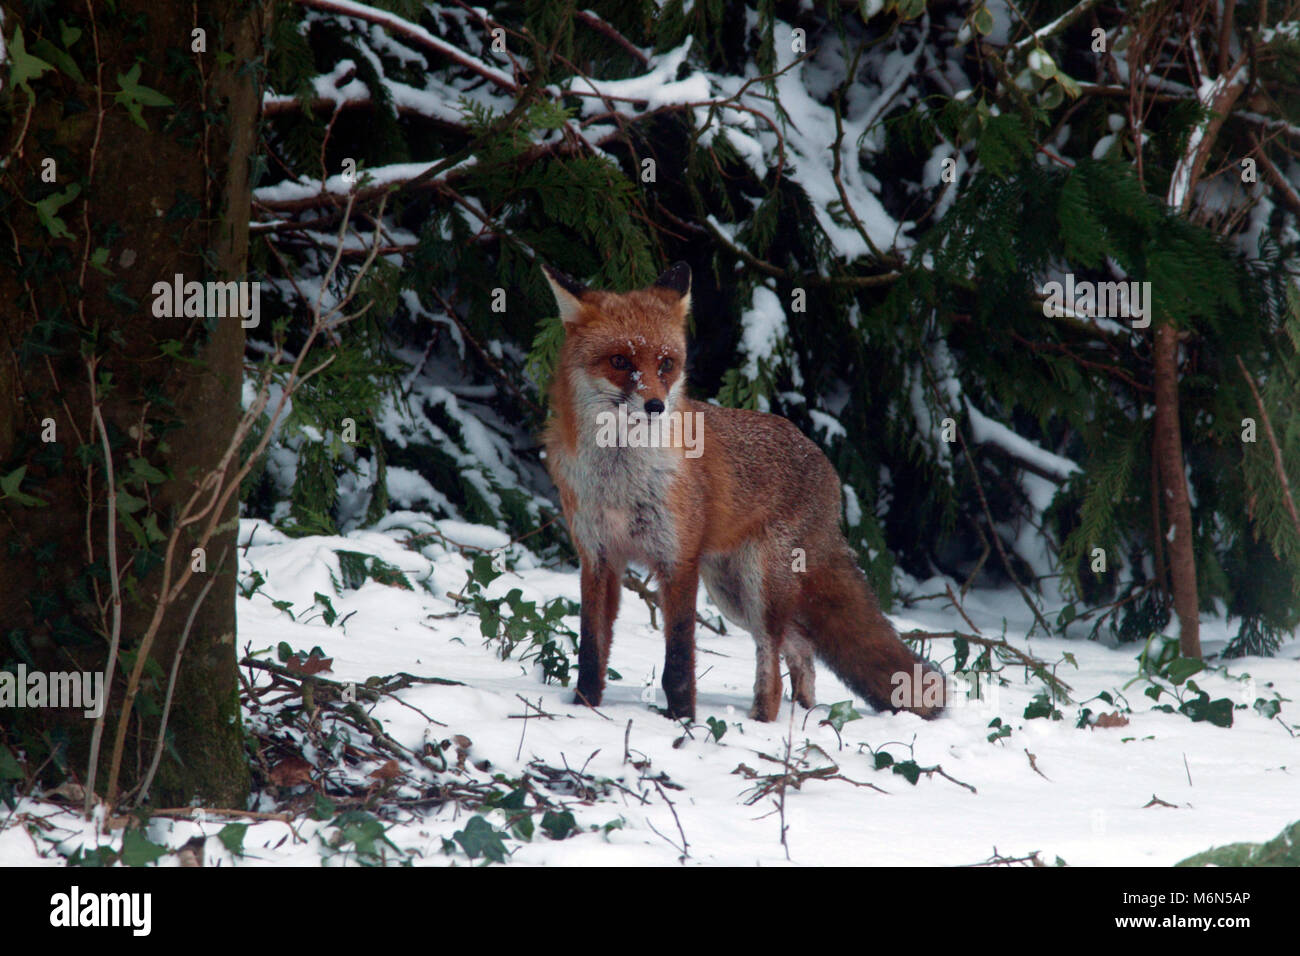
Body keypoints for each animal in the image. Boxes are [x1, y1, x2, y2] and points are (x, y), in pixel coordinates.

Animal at [538, 261, 946, 723]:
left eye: (666, 364)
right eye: (620, 361)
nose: (656, 406)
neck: (620, 481)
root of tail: (824, 464)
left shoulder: (677, 561)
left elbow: (679, 660)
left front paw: (683, 720)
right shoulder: (598, 557)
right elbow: (591, 649)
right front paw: (585, 706)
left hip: (758, 588)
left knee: (773, 659)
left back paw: (762, 720)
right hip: (732, 595)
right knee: (801, 648)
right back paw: (804, 711)